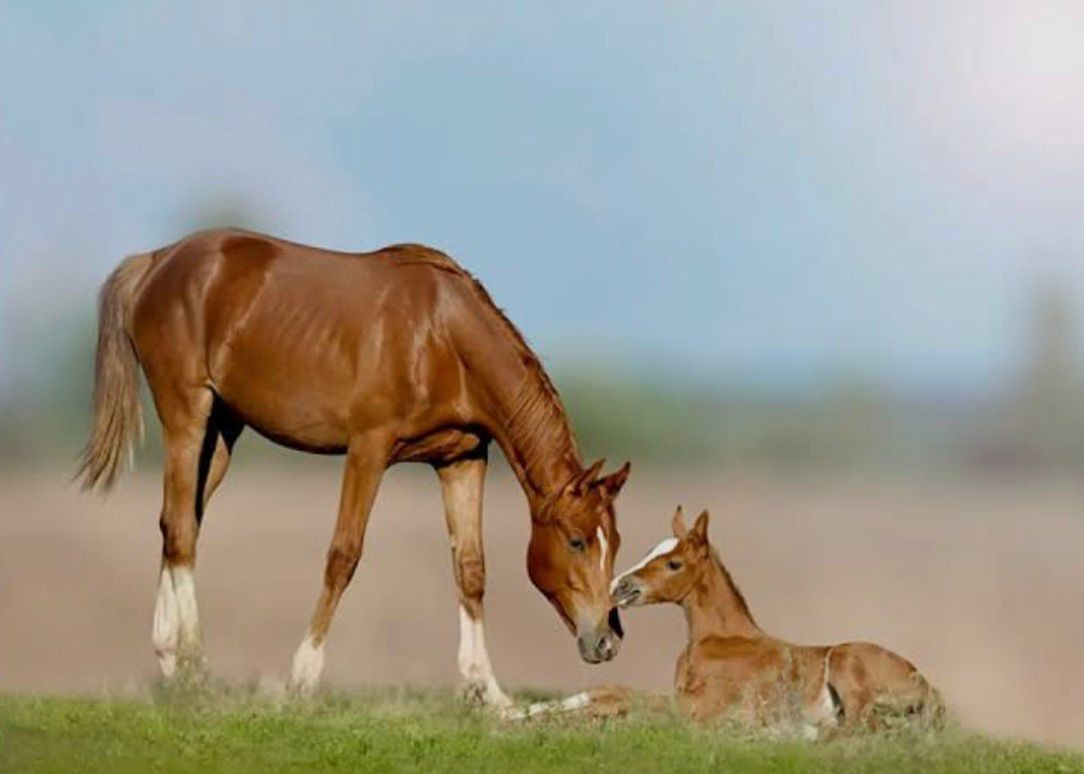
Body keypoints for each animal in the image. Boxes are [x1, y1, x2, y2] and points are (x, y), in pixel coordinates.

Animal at [76, 228, 630, 707]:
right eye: (576, 541)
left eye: (615, 543)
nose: (606, 640)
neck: (442, 337)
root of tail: (157, 260)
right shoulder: (369, 448)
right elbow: (343, 555)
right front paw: (302, 678)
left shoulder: (461, 459)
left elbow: (471, 568)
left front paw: (487, 690)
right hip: (187, 412)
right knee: (181, 528)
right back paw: (194, 661)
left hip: (223, 429)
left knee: (177, 524)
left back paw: (171, 660)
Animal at [609, 508, 942, 734]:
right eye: (649, 551)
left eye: (674, 564)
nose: (619, 586)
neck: (721, 641)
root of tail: (929, 689)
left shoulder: (699, 708)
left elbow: (631, 700)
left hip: (846, 661)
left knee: (858, 728)